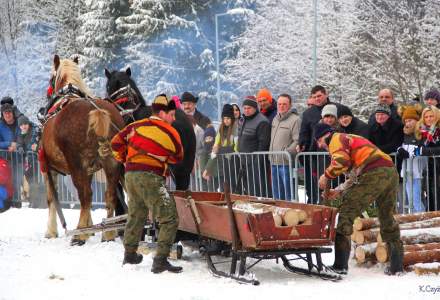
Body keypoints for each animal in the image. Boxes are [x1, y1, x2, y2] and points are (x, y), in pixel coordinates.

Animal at [41, 55, 124, 245]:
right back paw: (108, 233)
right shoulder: (90, 169)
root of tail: (98, 112)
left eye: (50, 79)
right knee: (109, 195)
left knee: (85, 195)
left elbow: (51, 198)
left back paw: (79, 234)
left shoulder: (48, 168)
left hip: (77, 165)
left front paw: (51, 231)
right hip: (111, 164)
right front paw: (91, 228)